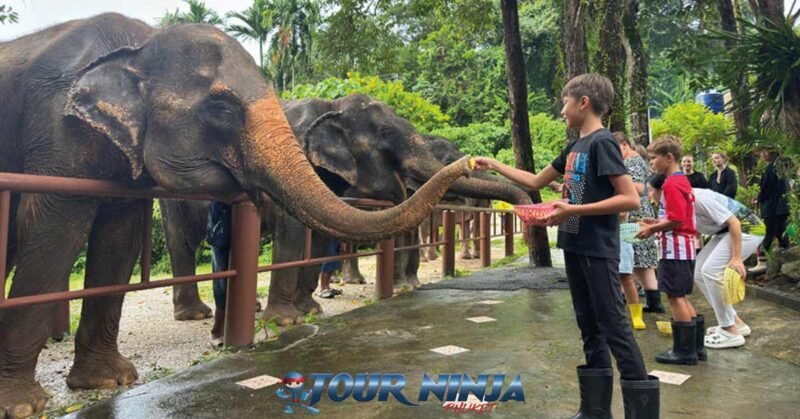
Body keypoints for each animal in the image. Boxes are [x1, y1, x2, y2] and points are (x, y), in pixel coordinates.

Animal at [0, 15, 471, 417]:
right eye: (222, 108)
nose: (472, 162)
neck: (140, 44)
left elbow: (120, 234)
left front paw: (109, 381)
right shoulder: (56, 128)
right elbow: (55, 226)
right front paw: (23, 406)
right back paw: (195, 317)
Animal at [162, 94, 534, 325]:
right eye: (385, 132)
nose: (470, 162)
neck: (333, 106)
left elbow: (319, 235)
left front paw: (311, 310)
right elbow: (294, 232)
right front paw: (287, 321)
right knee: (182, 241)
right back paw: (196, 315)